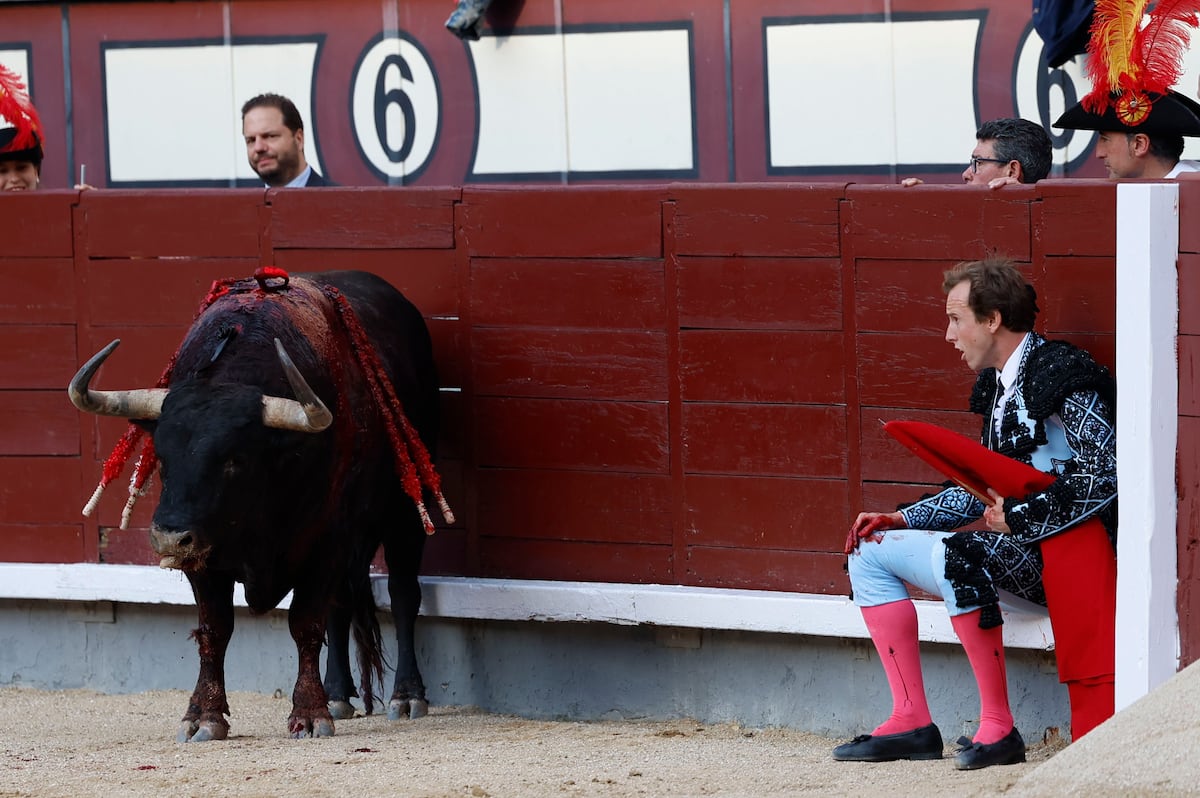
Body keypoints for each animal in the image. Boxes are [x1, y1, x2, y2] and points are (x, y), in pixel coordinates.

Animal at [68, 267, 451, 739]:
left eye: (235, 459)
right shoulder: (206, 554)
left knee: (402, 594)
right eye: (162, 454)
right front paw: (204, 716)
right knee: (342, 605)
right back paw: (339, 694)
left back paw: (407, 696)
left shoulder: (326, 539)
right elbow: (215, 629)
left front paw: (309, 713)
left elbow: (305, 622)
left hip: (404, 513)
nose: (169, 538)